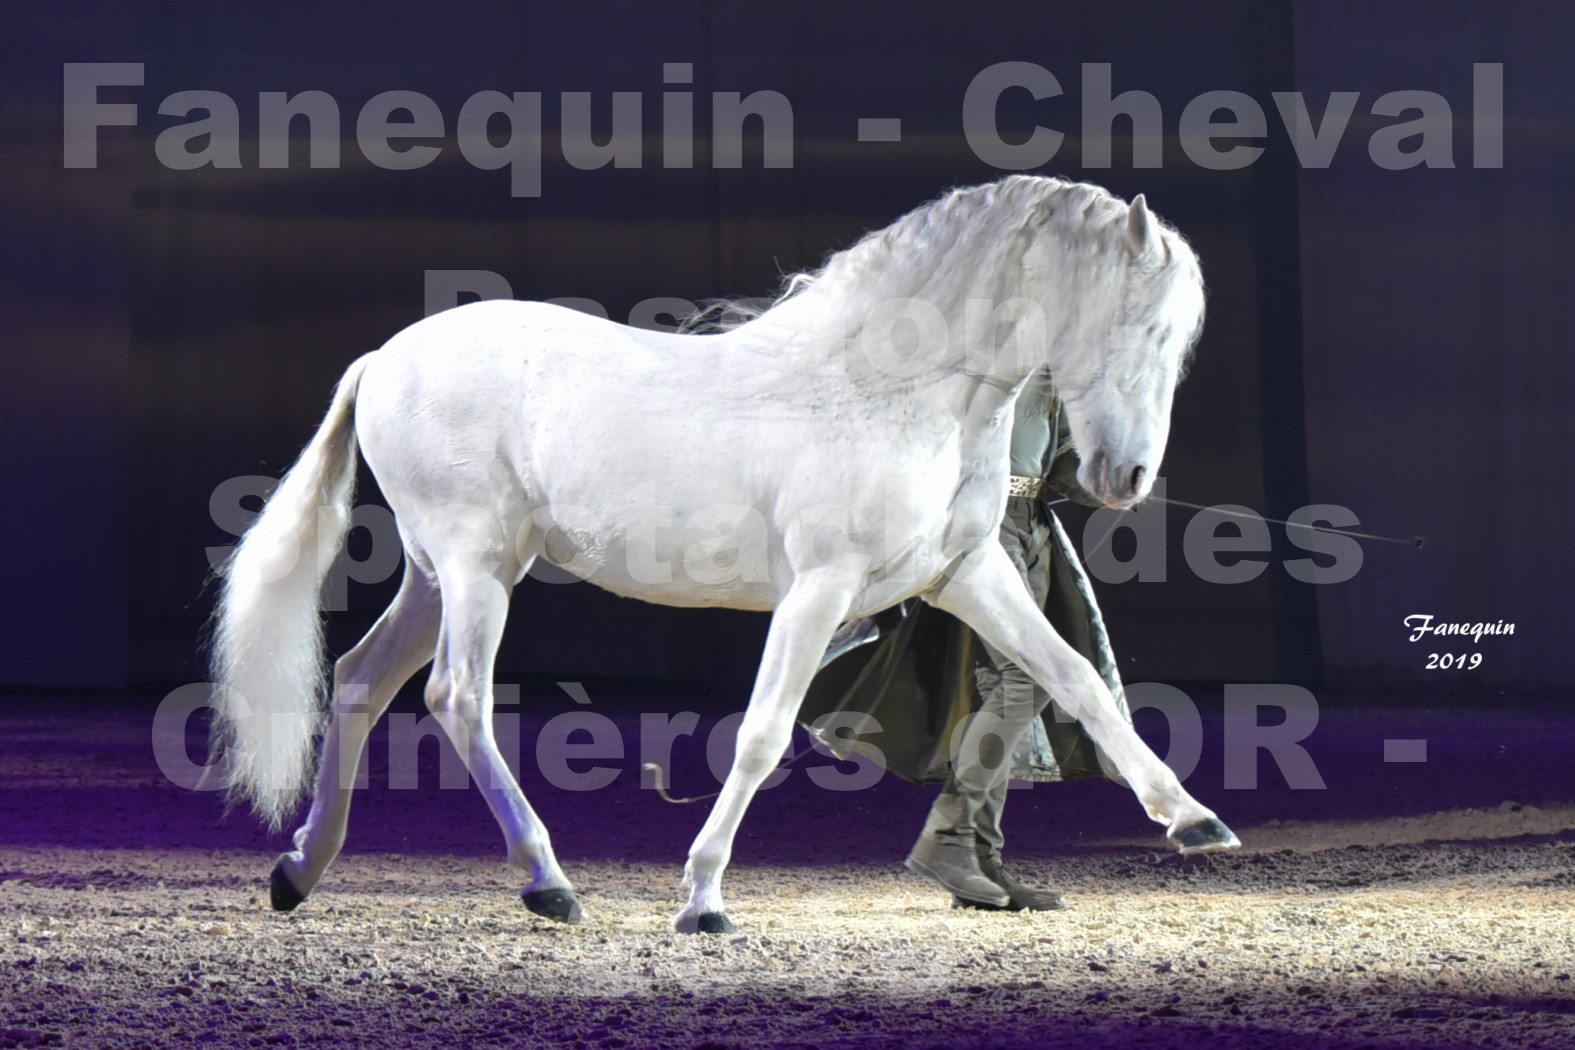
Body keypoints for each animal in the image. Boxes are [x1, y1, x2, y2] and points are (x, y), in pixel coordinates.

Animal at [212, 174, 1241, 938]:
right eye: (1144, 326)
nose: (1124, 477)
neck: (894, 390)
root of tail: (381, 359)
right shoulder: (818, 590)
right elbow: (762, 732)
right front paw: (702, 898)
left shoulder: (965, 575)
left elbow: (1078, 681)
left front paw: (1194, 821)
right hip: (475, 570)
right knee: (455, 699)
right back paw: (547, 882)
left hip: (445, 576)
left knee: (359, 679)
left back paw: (300, 870)